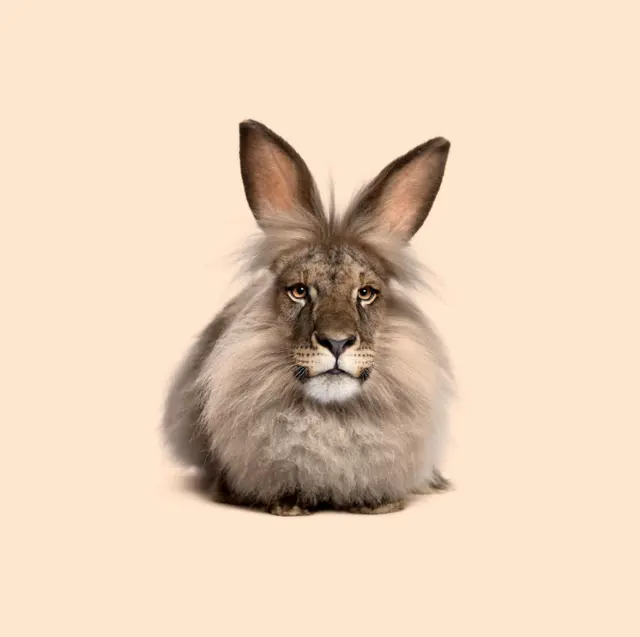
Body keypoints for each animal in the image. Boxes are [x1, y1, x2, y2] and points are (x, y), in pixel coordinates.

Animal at [162, 119, 455, 515]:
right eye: (299, 291)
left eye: (366, 293)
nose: (337, 342)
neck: (329, 418)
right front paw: (288, 506)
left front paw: (378, 504)